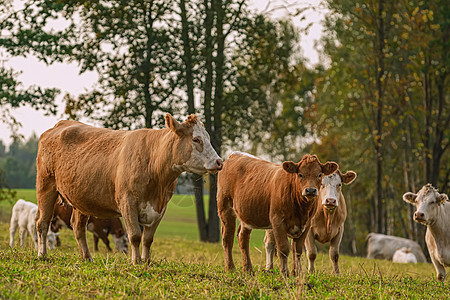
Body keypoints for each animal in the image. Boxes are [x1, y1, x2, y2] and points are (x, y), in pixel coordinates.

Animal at [36, 113, 222, 264]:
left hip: (81, 198)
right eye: (196, 139)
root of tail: (60, 125)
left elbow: (148, 238)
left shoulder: (161, 207)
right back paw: (42, 255)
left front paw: (146, 261)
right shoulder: (127, 201)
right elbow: (135, 235)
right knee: (42, 223)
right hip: (46, 186)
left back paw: (87, 257)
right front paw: (135, 261)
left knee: (77, 226)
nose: (219, 162)